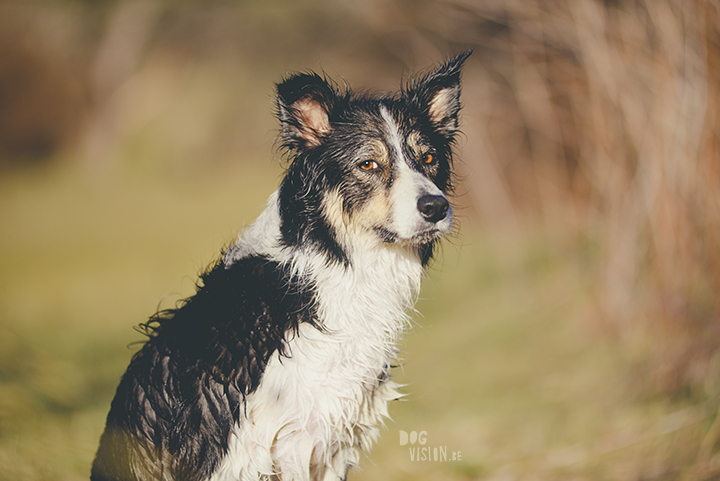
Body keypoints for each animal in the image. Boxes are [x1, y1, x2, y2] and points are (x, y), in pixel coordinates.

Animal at [91, 50, 472, 480]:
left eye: (429, 158)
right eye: (368, 165)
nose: (436, 207)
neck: (330, 268)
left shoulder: (334, 439)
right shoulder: (265, 446)